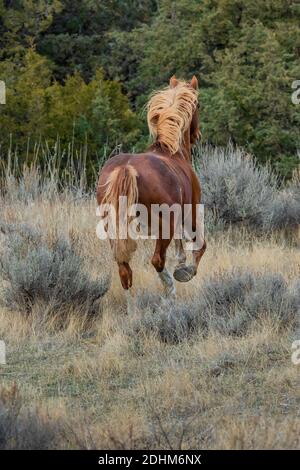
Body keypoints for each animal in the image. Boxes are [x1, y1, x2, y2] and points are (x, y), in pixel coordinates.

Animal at [96, 76, 206, 312]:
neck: (172, 152)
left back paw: (133, 310)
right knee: (157, 260)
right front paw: (184, 271)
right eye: (199, 105)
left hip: (113, 228)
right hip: (164, 225)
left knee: (124, 267)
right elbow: (198, 246)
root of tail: (126, 168)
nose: (197, 135)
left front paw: (181, 262)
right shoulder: (191, 212)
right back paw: (170, 294)